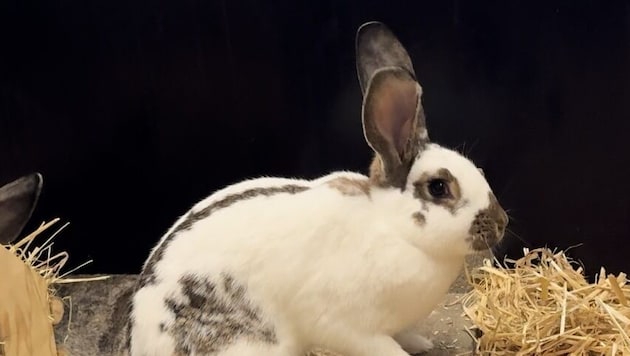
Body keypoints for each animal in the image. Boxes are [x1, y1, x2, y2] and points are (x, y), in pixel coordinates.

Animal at [127, 22, 508, 356]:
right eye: (439, 187)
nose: (501, 222)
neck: (396, 230)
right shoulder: (347, 325)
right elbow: (379, 347)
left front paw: (420, 343)